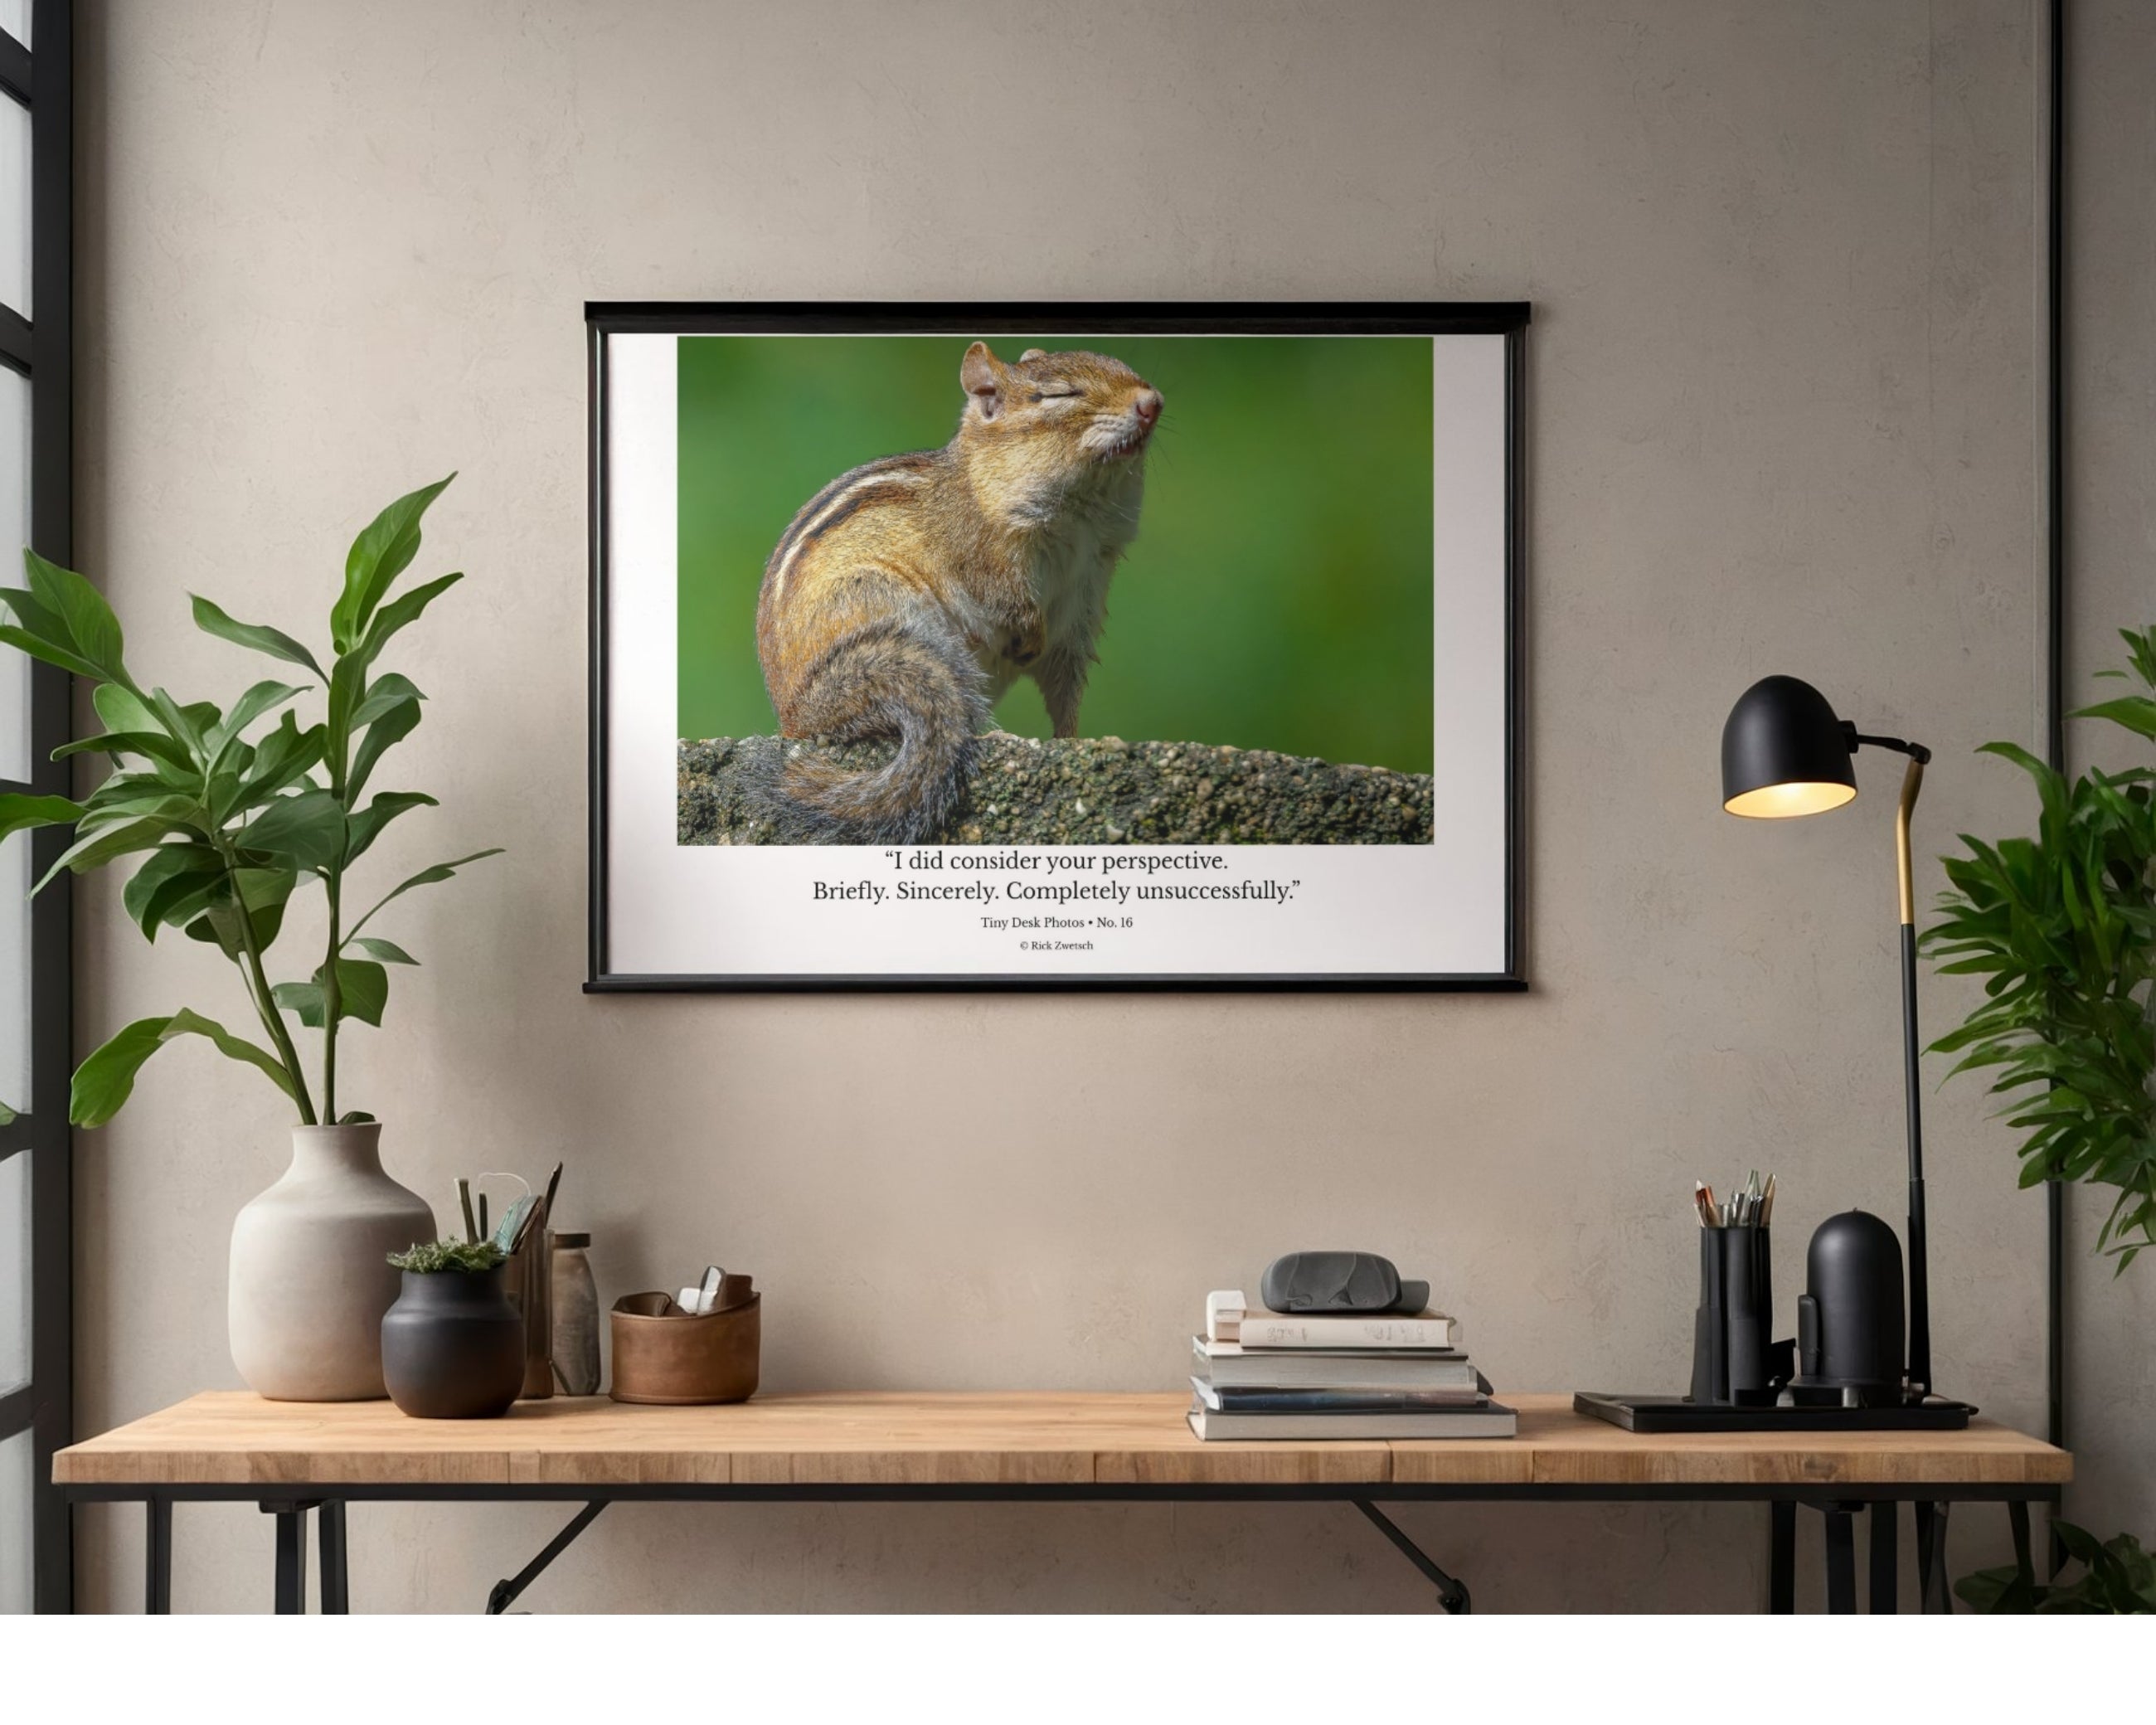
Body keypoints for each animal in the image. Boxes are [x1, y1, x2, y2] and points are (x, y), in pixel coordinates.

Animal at [752, 341, 1163, 843]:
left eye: (1124, 368)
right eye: (1060, 395)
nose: (1152, 403)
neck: (1083, 516)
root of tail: (796, 716)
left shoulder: (1082, 606)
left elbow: (1064, 688)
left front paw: (1076, 741)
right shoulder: (983, 557)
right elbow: (1010, 605)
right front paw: (1029, 643)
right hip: (887, 612)